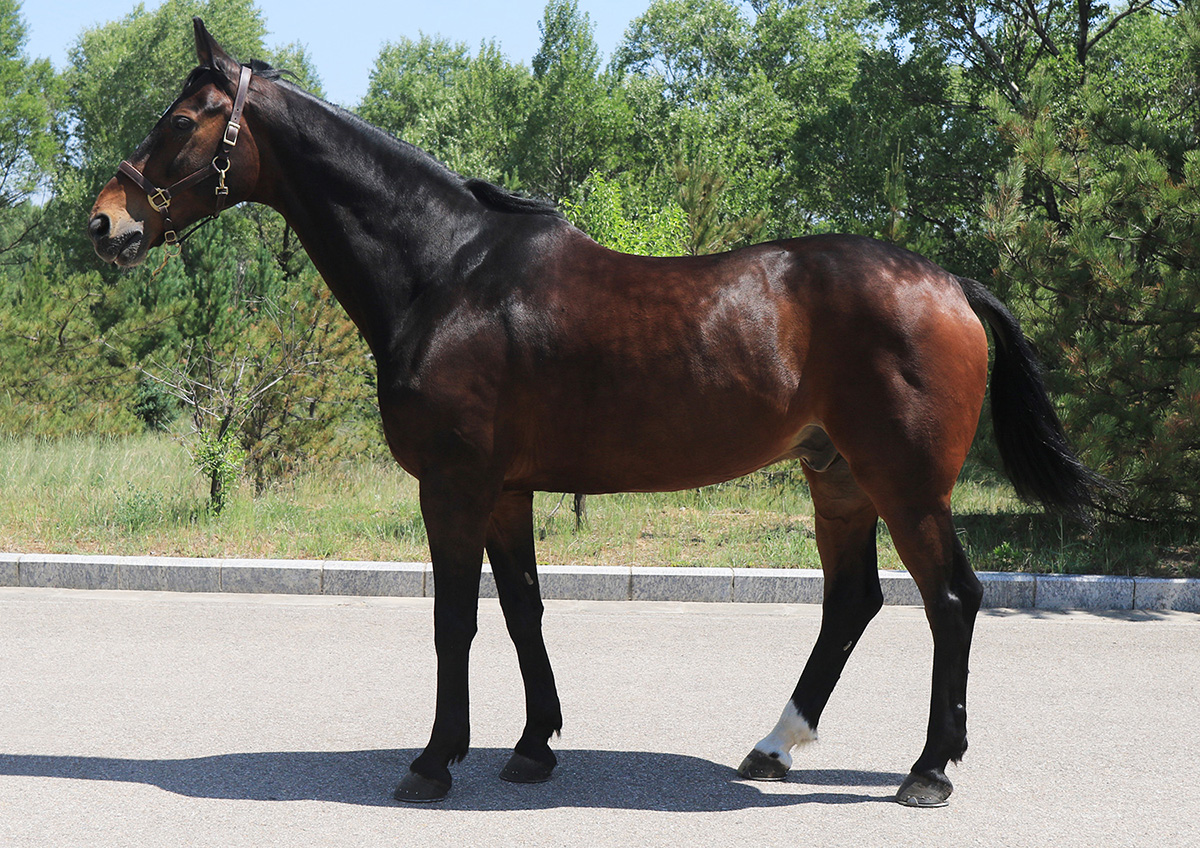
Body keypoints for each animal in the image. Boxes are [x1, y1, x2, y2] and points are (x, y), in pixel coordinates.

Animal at [88, 19, 1105, 808]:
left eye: (181, 119)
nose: (105, 222)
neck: (447, 271)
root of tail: (951, 285)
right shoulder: (506, 492)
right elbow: (522, 611)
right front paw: (533, 747)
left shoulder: (454, 486)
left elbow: (454, 619)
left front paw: (433, 762)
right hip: (840, 479)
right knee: (852, 604)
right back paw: (774, 746)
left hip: (907, 484)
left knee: (951, 600)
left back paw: (929, 769)